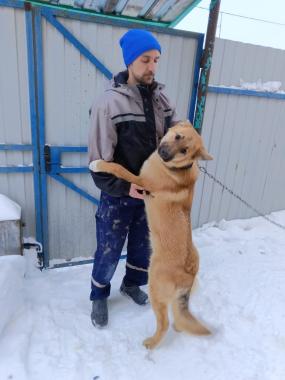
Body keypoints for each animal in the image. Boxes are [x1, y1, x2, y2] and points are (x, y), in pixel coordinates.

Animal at [89, 120, 211, 348]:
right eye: (178, 136)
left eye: (184, 151)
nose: (164, 153)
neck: (174, 168)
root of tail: (189, 276)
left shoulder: (139, 180)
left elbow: (117, 167)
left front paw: (98, 164)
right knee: (177, 318)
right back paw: (177, 329)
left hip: (155, 286)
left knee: (163, 324)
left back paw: (151, 344)